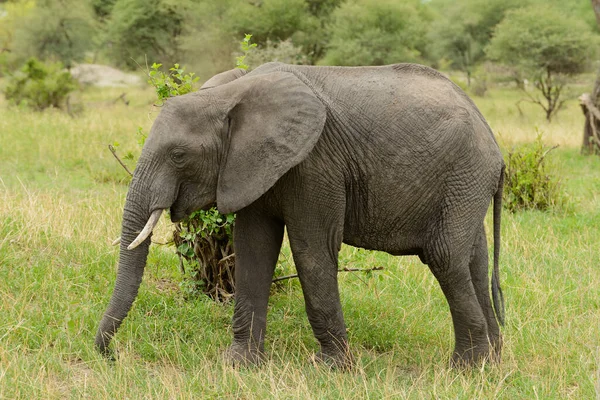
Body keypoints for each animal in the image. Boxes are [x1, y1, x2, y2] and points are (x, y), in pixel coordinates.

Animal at [95, 61, 506, 366]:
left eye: (179, 155)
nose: (111, 355)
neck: (232, 92)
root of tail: (495, 145)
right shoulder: (251, 165)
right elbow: (253, 250)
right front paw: (238, 364)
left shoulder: (315, 165)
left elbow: (311, 252)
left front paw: (331, 369)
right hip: (467, 185)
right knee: (475, 260)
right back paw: (492, 363)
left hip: (463, 175)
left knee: (445, 257)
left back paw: (465, 370)